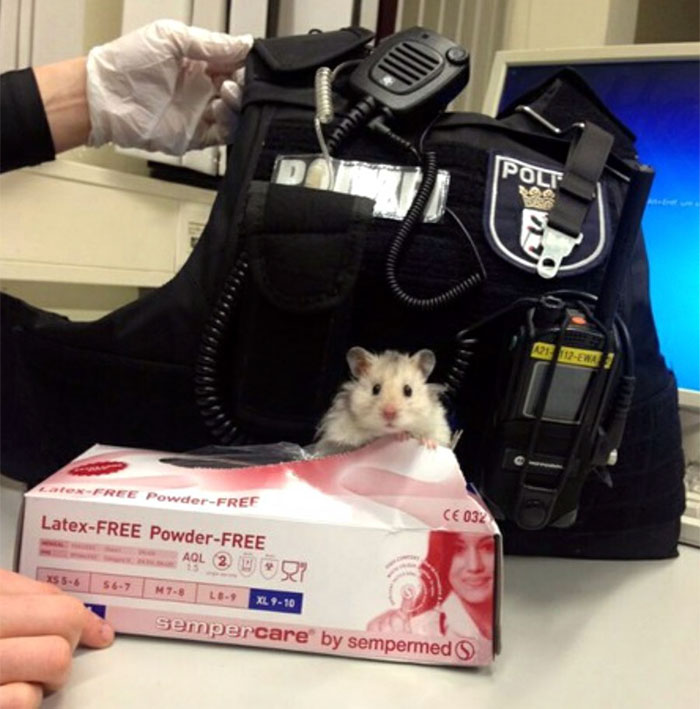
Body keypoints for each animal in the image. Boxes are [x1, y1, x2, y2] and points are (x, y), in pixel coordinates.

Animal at [314, 346, 452, 456]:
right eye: (376, 388)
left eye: (408, 390)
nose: (389, 413)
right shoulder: (336, 438)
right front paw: (402, 436)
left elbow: (432, 436)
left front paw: (428, 444)